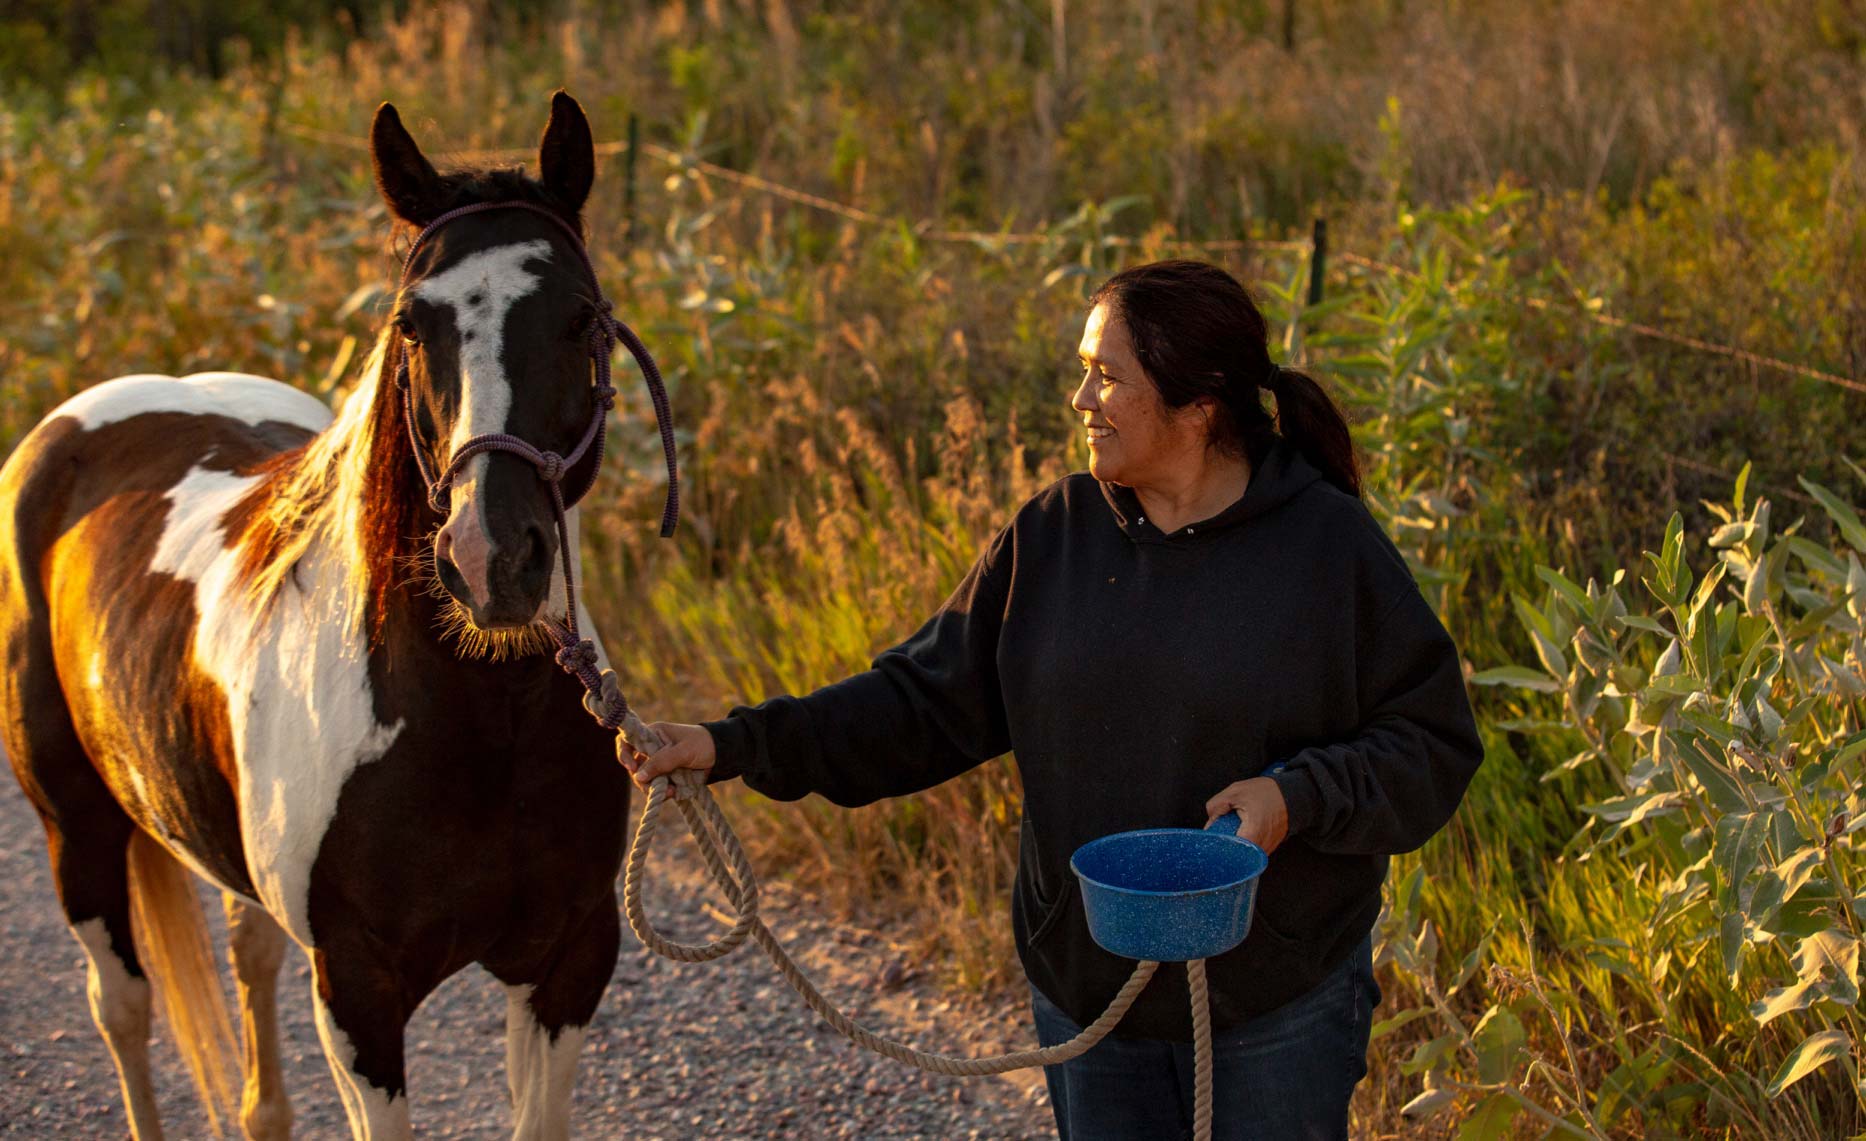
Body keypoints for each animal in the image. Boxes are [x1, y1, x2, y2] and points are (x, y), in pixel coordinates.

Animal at [0, 91, 673, 1139]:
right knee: (123, 1008)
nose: (489, 558)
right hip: (75, 821)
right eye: (411, 324)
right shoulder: (358, 995)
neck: (480, 721)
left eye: (581, 317)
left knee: (248, 964)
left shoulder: (569, 963)